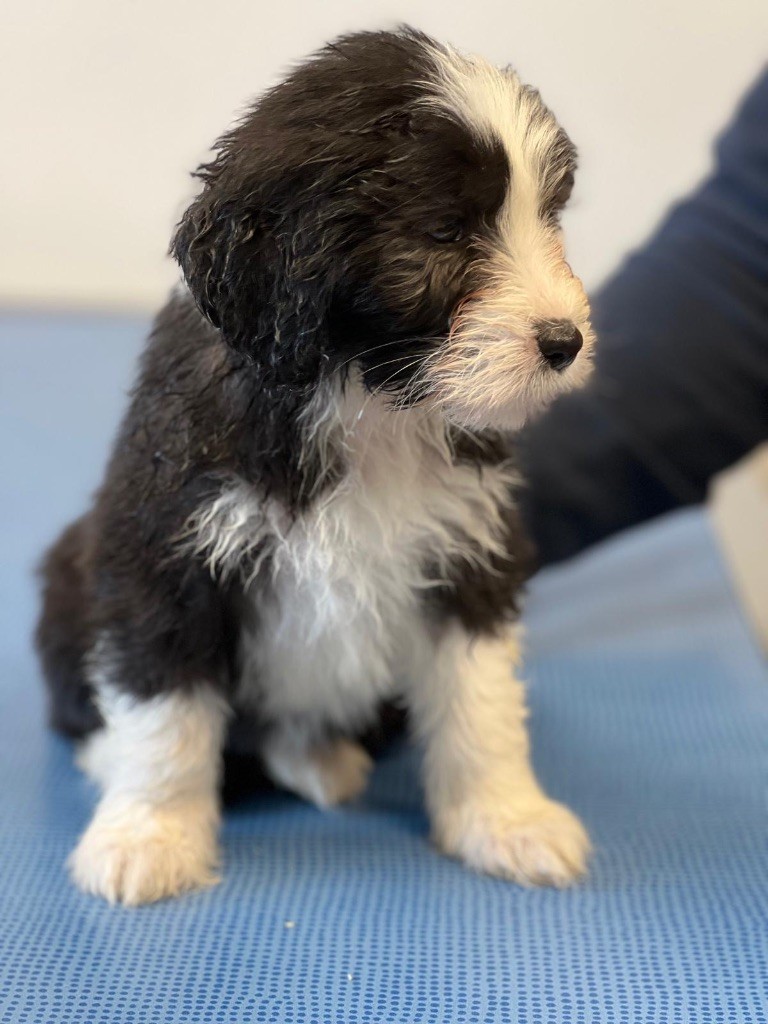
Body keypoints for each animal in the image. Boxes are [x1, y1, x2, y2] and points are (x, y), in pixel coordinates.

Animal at [37, 25, 593, 905]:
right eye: (444, 231)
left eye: (549, 216)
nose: (564, 342)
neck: (367, 399)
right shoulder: (164, 549)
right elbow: (165, 705)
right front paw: (150, 833)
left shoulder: (470, 549)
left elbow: (481, 701)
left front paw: (506, 819)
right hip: (68, 572)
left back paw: (321, 756)